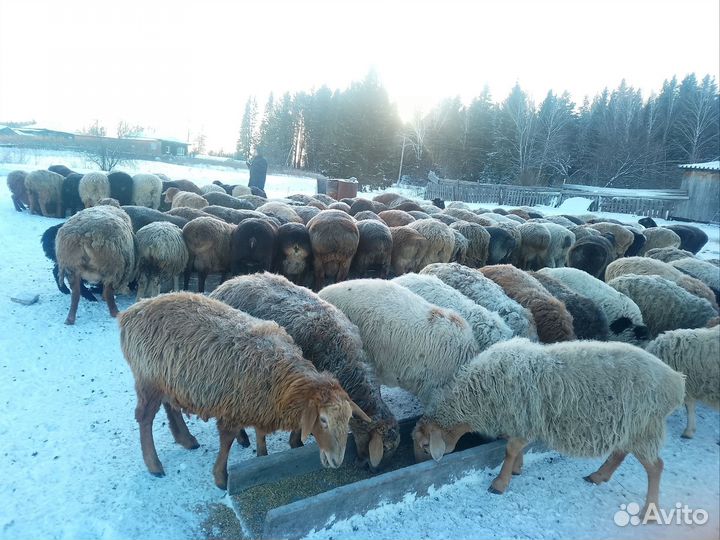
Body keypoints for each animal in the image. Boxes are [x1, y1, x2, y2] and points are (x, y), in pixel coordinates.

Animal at [119, 292, 369, 487]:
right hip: (147, 378)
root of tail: (132, 311)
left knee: (171, 405)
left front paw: (261, 455)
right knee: (144, 418)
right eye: (323, 420)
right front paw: (221, 477)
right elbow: (226, 441)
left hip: (169, 378)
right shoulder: (233, 406)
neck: (282, 377)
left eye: (348, 419)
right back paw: (154, 464)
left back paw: (187, 440)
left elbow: (259, 432)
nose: (337, 461)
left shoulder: (259, 403)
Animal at [412, 338, 685, 519]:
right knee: (620, 452)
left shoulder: (524, 419)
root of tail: (675, 381)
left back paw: (648, 512)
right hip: (630, 427)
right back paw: (598, 476)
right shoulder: (521, 420)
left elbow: (510, 449)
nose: (419, 464)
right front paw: (517, 469)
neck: (477, 395)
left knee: (656, 467)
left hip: (645, 426)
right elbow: (514, 449)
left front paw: (500, 483)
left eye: (426, 446)